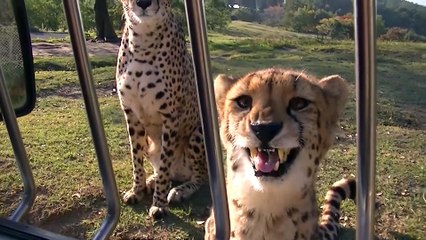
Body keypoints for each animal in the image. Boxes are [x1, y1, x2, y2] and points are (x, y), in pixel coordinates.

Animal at [116, 0, 206, 218]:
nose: (143, 3)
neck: (142, 40)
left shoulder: (171, 117)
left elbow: (165, 163)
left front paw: (159, 204)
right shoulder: (131, 114)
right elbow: (136, 158)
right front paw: (137, 190)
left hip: (198, 134)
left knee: (199, 176)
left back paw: (179, 191)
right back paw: (151, 181)